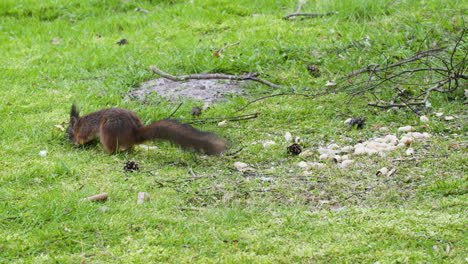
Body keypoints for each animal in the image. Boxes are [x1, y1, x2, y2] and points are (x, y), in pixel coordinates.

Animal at [66, 104, 227, 155]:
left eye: (68, 133)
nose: (68, 141)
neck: (80, 122)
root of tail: (133, 133)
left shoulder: (85, 129)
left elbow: (83, 137)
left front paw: (78, 143)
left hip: (107, 131)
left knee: (113, 150)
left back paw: (103, 151)